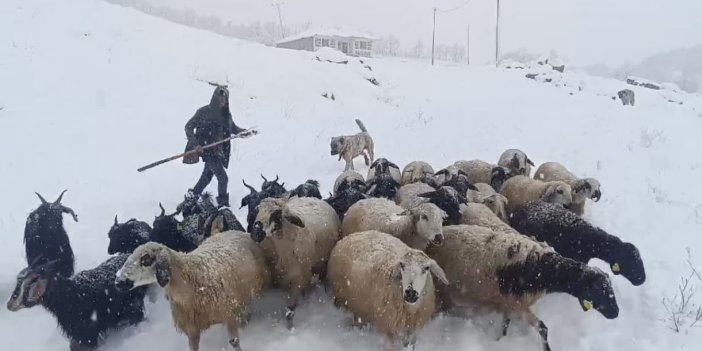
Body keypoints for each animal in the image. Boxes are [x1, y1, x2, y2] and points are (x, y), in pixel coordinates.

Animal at [6, 254, 150, 350]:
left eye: (31, 282)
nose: (9, 305)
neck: (71, 296)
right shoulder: (78, 334)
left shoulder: (87, 332)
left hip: (134, 305)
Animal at [114, 232, 270, 350]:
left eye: (145, 259)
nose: (118, 282)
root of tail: (233, 231)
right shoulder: (191, 327)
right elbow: (193, 348)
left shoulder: (229, 313)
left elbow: (234, 342)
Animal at [252, 197, 342, 328]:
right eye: (257, 210)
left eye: (277, 213)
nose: (256, 233)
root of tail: (313, 198)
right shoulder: (280, 278)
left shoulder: (299, 279)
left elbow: (290, 310)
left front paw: (290, 326)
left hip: (322, 264)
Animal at [428, 226, 620, 351]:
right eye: (599, 290)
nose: (616, 313)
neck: (544, 269)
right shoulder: (518, 305)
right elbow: (542, 328)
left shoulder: (509, 302)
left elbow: (508, 323)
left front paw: (501, 340)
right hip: (445, 288)